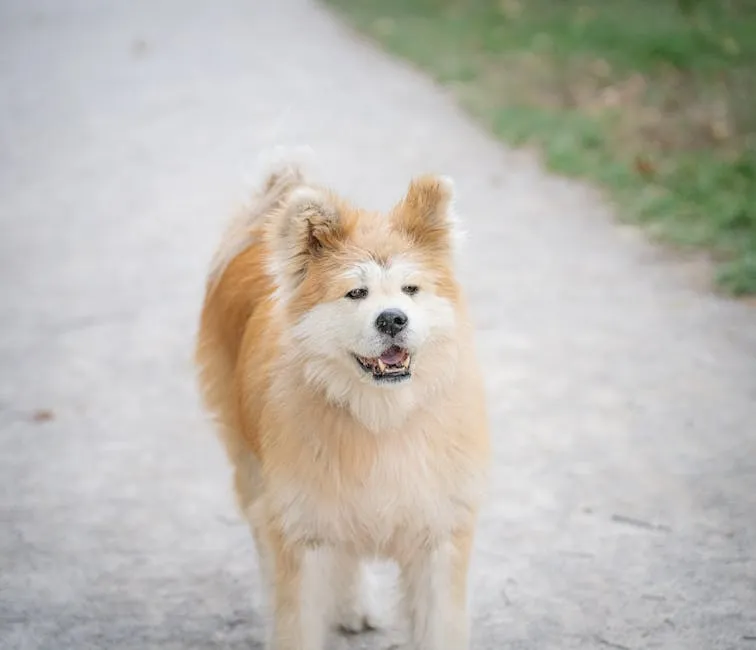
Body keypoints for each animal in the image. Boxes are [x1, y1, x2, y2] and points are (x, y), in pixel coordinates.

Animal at [195, 161, 490, 648]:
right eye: (356, 293)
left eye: (411, 289)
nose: (393, 319)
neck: (381, 417)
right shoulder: (301, 532)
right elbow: (298, 623)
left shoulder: (439, 534)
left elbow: (438, 627)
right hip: (254, 473)